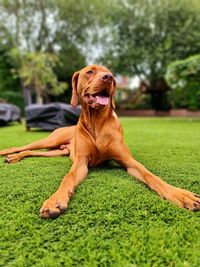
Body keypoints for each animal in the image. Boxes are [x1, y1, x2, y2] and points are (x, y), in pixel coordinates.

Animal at [0, 65, 200, 220]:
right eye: (90, 72)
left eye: (109, 73)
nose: (108, 78)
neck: (97, 122)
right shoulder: (81, 162)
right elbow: (68, 177)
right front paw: (55, 200)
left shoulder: (128, 161)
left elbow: (150, 175)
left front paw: (181, 195)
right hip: (50, 139)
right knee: (23, 146)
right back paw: (8, 153)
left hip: (58, 151)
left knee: (31, 152)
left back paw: (14, 158)